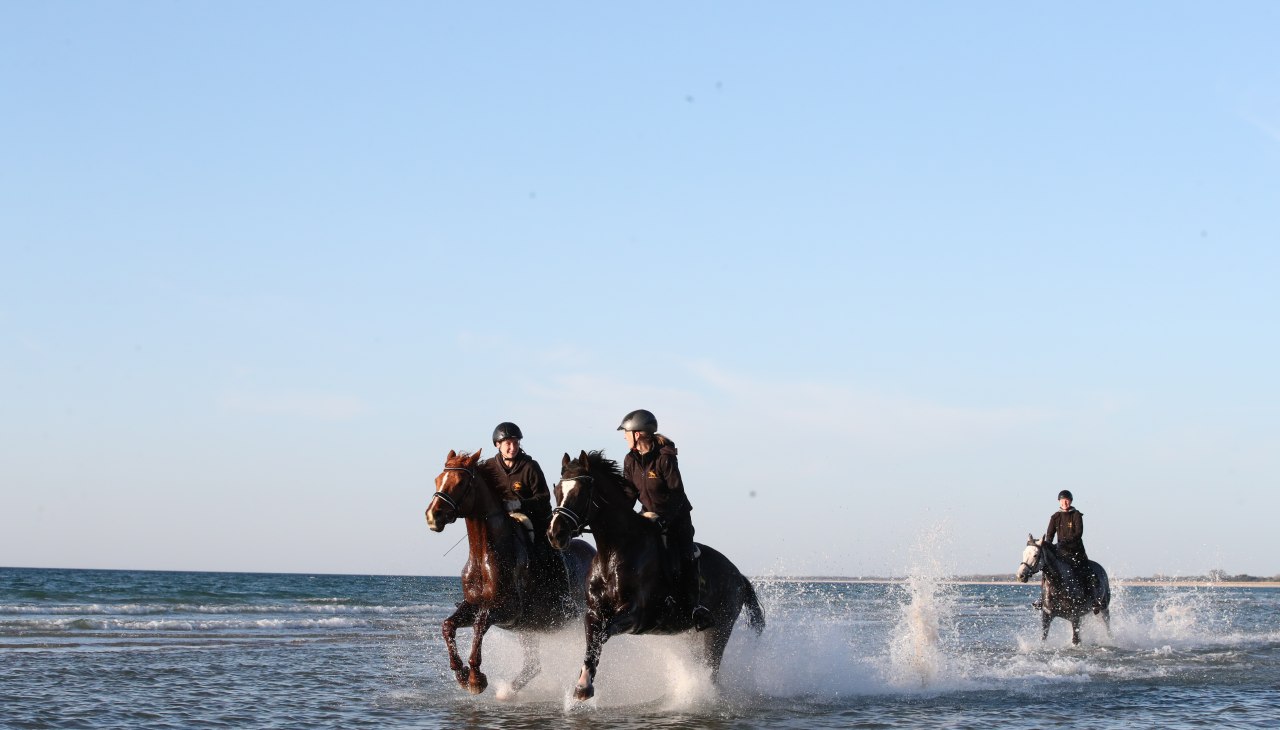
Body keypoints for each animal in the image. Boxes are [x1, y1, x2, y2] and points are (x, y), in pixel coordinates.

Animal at [425, 449, 596, 695]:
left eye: (460, 483)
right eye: (438, 480)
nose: (432, 516)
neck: (484, 555)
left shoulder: (506, 610)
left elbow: (479, 625)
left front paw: (476, 678)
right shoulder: (474, 604)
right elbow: (448, 626)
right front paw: (461, 674)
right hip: (531, 629)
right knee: (533, 666)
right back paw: (508, 690)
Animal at [547, 450, 766, 701]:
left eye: (580, 492)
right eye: (557, 491)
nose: (555, 534)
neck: (614, 551)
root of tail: (738, 575)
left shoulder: (637, 615)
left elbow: (604, 633)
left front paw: (585, 686)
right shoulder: (593, 612)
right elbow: (593, 640)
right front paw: (582, 686)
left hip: (720, 628)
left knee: (711, 667)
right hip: (692, 634)